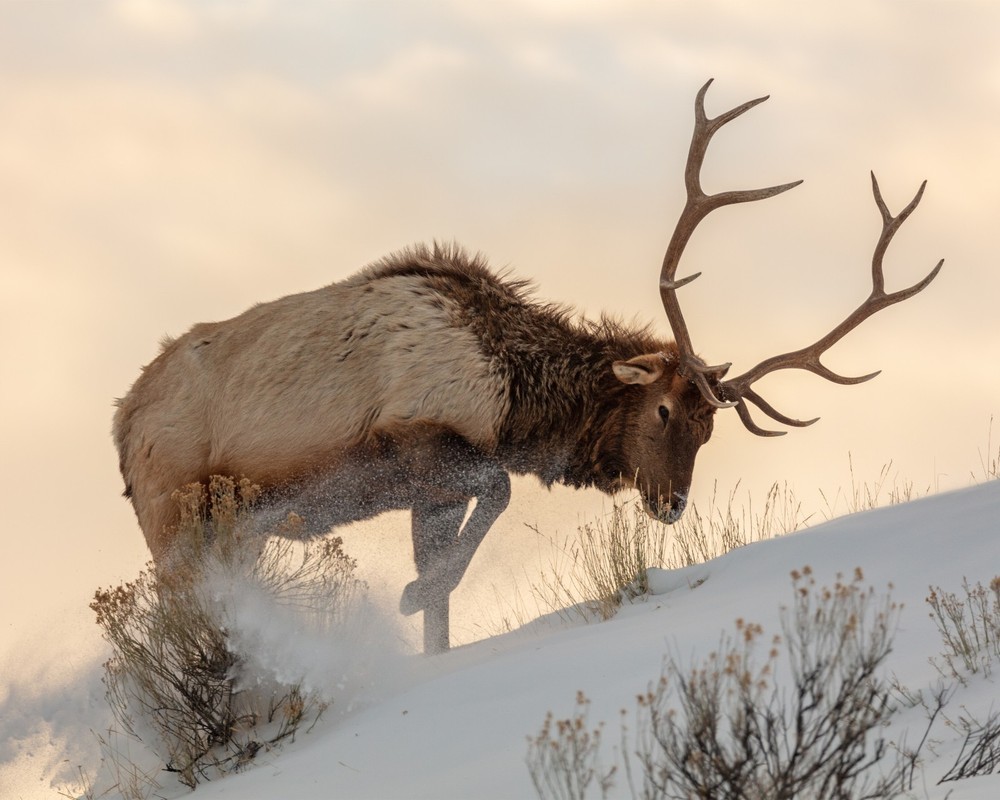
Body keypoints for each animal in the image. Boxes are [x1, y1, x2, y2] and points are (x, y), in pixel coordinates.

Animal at [113, 80, 942, 653]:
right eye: (664, 409)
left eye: (711, 431)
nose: (672, 504)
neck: (515, 397)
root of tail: (121, 425)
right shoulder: (416, 438)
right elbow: (498, 495)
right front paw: (408, 594)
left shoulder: (428, 492)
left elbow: (447, 595)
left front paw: (424, 618)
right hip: (174, 520)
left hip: (231, 531)